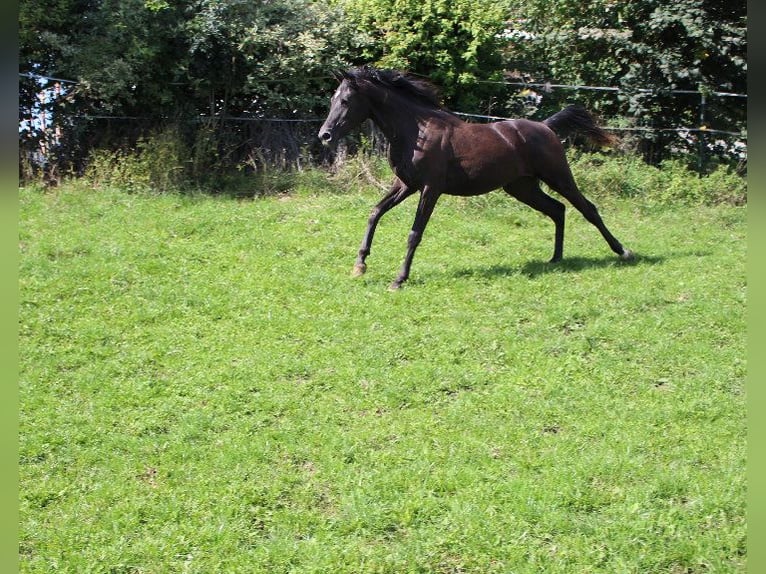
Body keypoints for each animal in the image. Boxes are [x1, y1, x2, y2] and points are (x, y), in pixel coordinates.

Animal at [320, 67, 636, 290]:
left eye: (346, 100)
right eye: (332, 99)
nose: (325, 135)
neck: (417, 131)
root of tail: (546, 127)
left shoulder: (430, 188)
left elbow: (414, 233)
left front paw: (399, 279)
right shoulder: (405, 185)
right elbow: (375, 213)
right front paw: (359, 265)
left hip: (558, 177)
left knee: (587, 209)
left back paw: (623, 252)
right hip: (522, 187)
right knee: (557, 210)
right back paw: (555, 259)